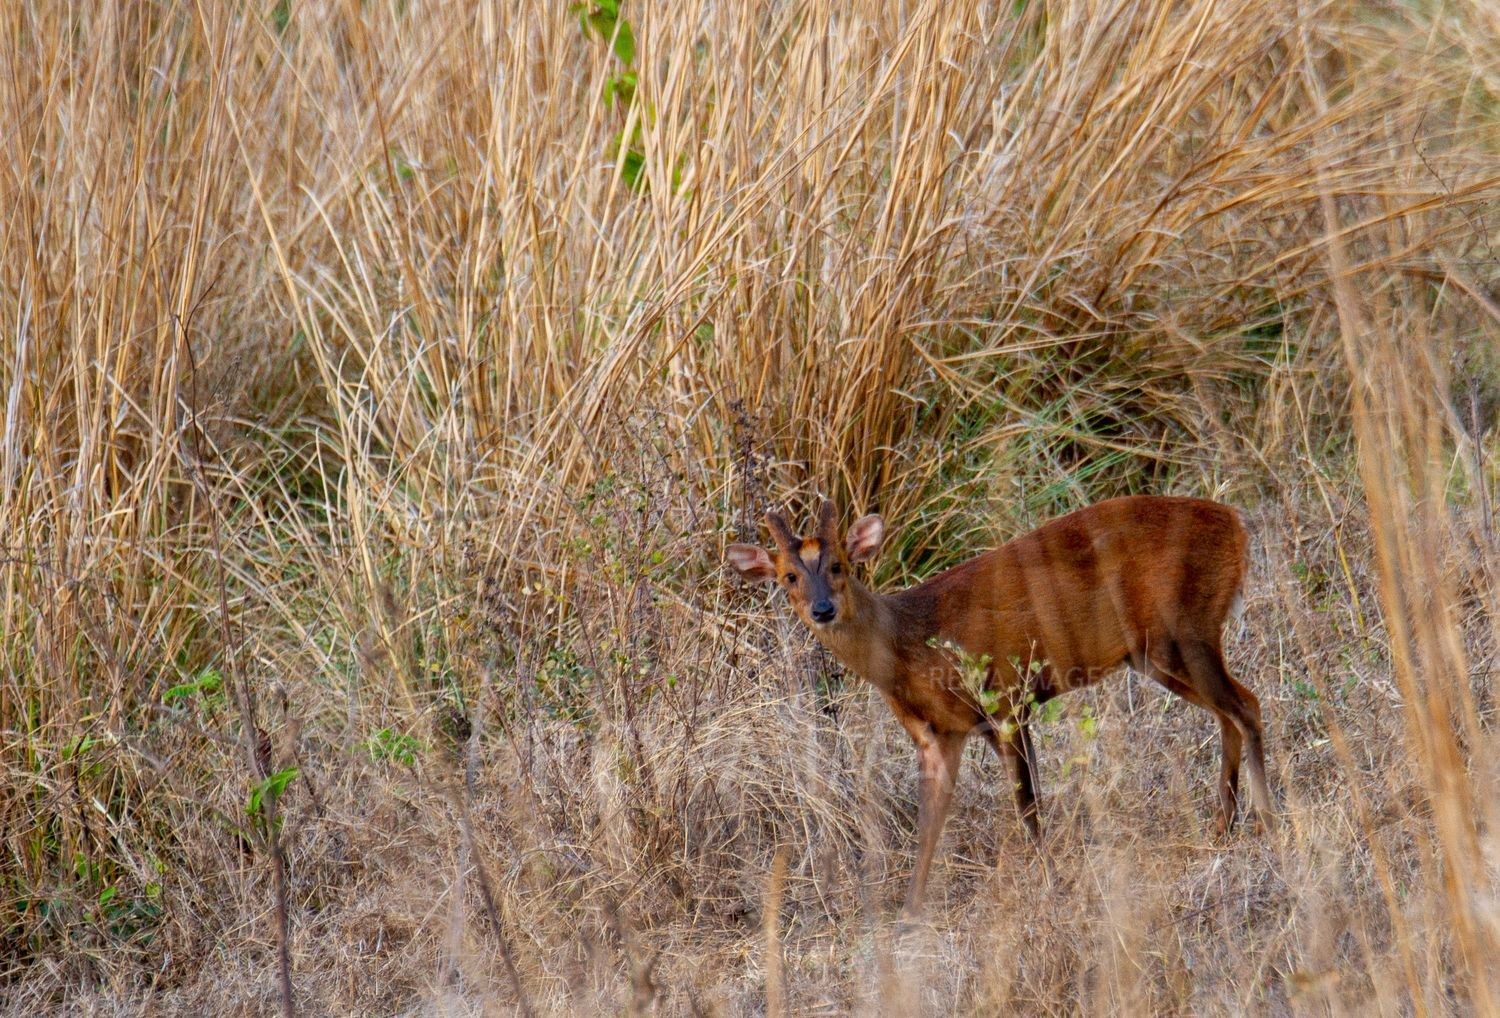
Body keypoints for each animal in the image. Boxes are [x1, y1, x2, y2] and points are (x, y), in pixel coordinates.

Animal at [725, 496, 1273, 916]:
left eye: (838, 564)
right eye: (788, 577)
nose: (823, 609)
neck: (910, 644)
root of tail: (1236, 523)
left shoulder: (1008, 700)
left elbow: (1026, 804)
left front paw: (1050, 882)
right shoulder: (939, 734)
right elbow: (930, 822)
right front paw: (909, 912)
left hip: (1184, 629)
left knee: (1247, 705)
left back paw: (1268, 824)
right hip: (1155, 653)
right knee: (1230, 712)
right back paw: (1223, 828)